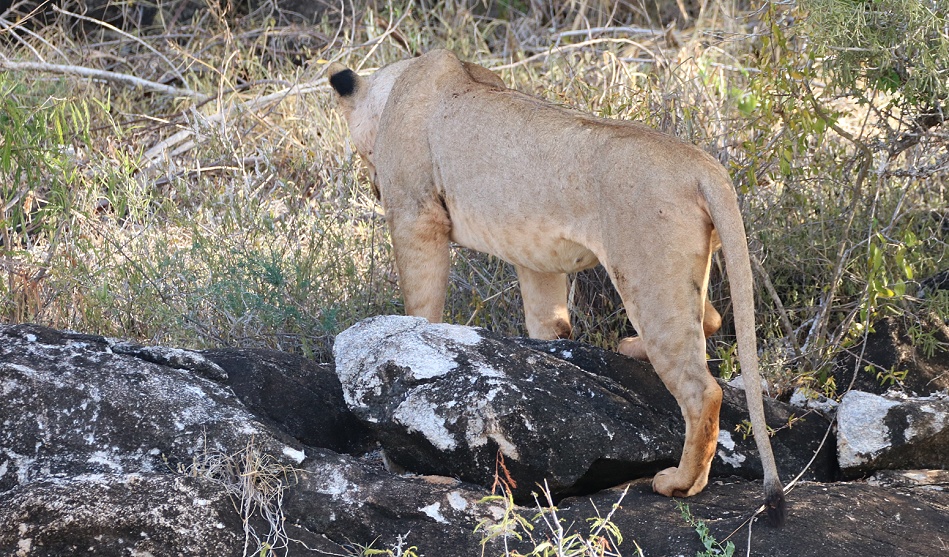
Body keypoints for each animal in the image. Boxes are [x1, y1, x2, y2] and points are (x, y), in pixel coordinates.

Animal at [328, 49, 786, 526]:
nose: (371, 185)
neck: (394, 86)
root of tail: (703, 166)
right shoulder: (535, 256)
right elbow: (549, 325)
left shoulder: (416, 216)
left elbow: (420, 305)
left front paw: (406, 348)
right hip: (681, 273)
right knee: (710, 318)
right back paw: (631, 347)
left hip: (648, 276)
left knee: (702, 389)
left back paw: (680, 482)